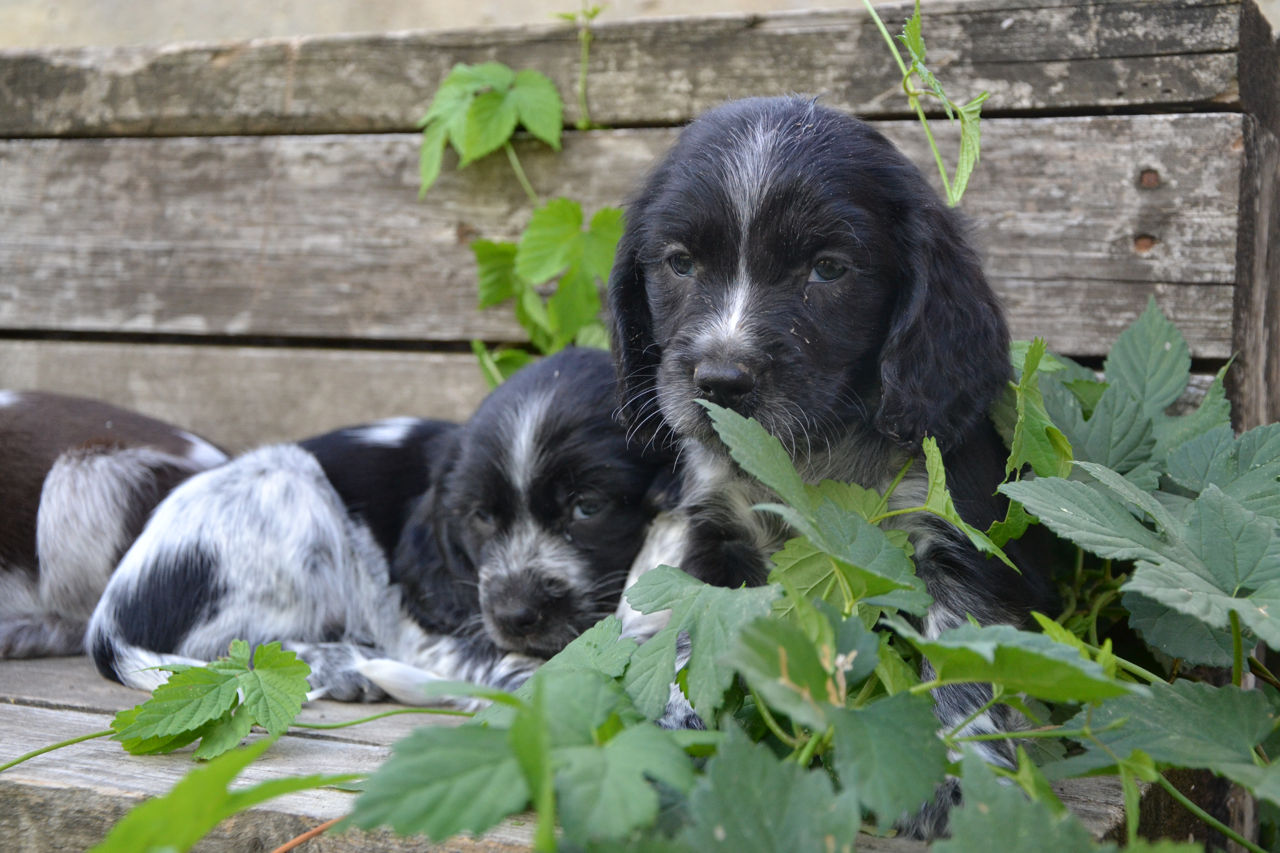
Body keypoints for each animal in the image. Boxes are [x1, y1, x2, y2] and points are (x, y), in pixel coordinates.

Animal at [87, 348, 680, 701]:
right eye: (482, 517)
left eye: (588, 508)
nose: (514, 616)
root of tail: (109, 618)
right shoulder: (430, 628)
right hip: (293, 490)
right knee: (224, 649)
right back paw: (338, 666)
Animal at [604, 96, 1054, 835]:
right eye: (679, 263)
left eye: (829, 269)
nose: (721, 381)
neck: (808, 459)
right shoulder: (706, 520)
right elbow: (688, 611)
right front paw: (674, 712)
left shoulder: (960, 537)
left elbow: (962, 652)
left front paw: (962, 771)